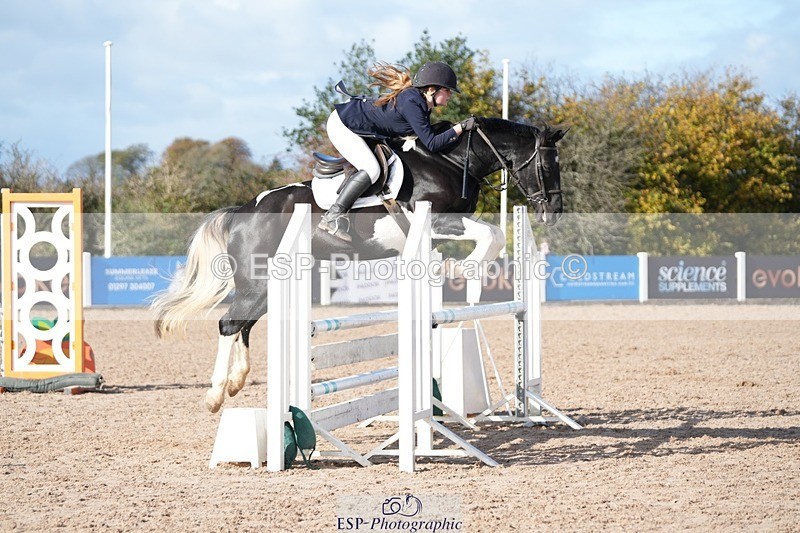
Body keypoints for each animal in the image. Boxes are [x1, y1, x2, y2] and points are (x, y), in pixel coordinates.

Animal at [152, 117, 566, 413]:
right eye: (548, 166)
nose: (554, 212)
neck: (450, 159)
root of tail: (243, 211)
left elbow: (486, 236)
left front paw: (457, 271)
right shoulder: (432, 221)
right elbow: (491, 234)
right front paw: (464, 270)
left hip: (268, 284)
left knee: (244, 324)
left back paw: (237, 381)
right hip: (257, 282)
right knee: (229, 324)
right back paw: (215, 395)